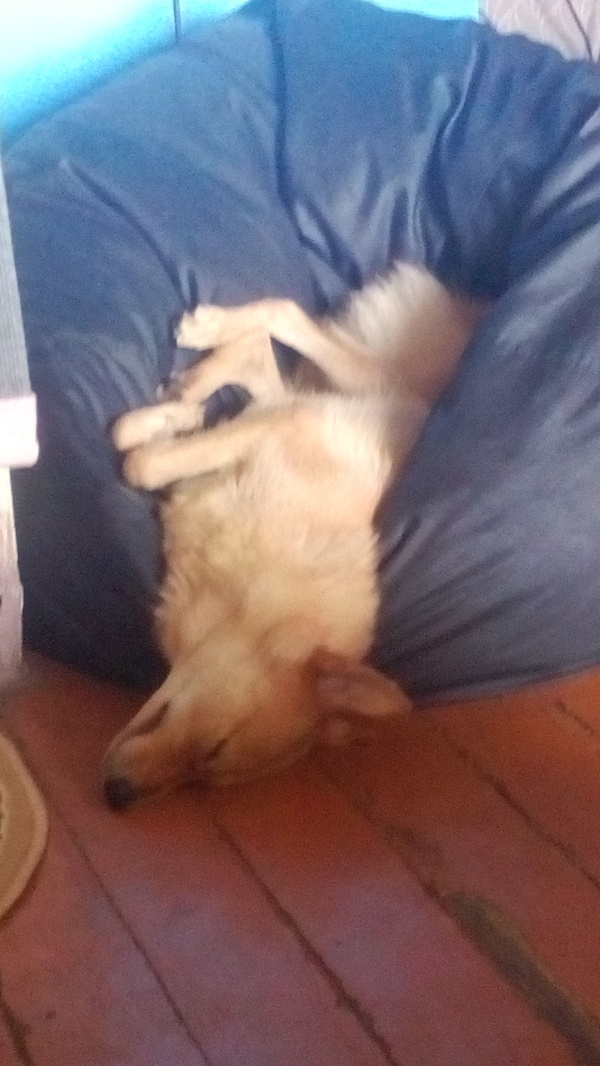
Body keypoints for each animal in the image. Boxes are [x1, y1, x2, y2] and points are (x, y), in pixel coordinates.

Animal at [103, 262, 485, 808]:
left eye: (207, 771)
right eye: (216, 748)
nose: (117, 796)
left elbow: (145, 457)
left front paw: (174, 418)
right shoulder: (277, 429)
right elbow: (140, 459)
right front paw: (163, 422)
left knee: (263, 361)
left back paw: (196, 377)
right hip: (360, 379)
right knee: (284, 321)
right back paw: (206, 339)